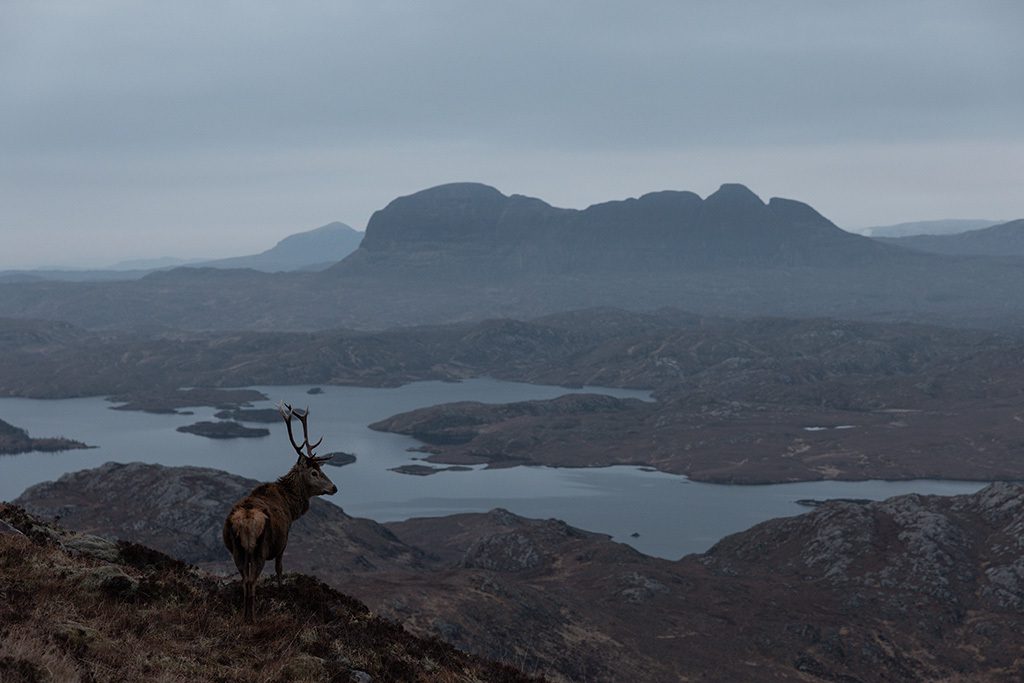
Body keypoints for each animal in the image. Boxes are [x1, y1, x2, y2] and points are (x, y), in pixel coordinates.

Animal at [223, 402, 338, 622]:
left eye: (321, 469)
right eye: (314, 472)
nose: (334, 487)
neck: (291, 507)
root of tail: (246, 520)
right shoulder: (283, 542)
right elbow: (279, 569)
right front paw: (281, 590)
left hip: (237, 550)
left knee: (244, 580)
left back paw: (243, 617)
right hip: (260, 548)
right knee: (251, 581)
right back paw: (253, 619)